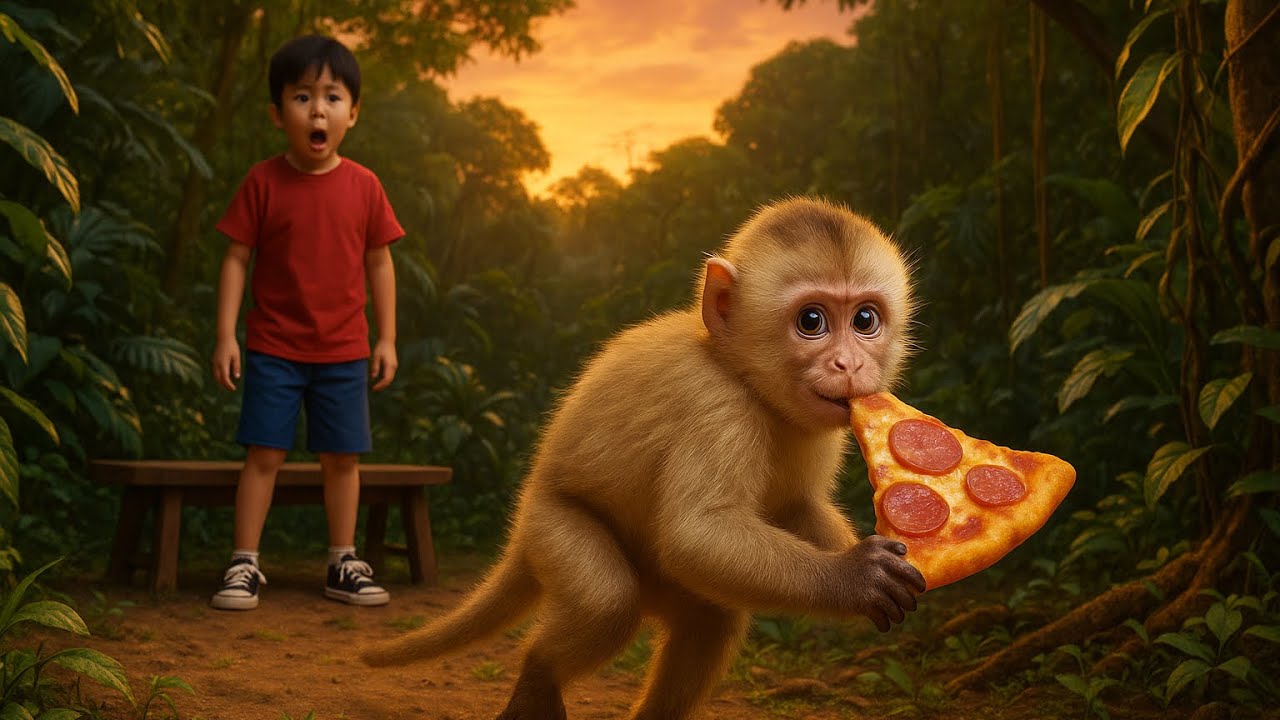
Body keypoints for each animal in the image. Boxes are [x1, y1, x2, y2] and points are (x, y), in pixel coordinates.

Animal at [361, 196, 927, 720]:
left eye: (865, 320)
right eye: (812, 321)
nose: (849, 363)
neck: (743, 376)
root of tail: (522, 531)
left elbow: (795, 507)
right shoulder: (714, 404)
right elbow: (697, 534)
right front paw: (854, 578)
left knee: (708, 618)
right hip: (551, 523)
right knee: (607, 601)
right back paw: (539, 676)